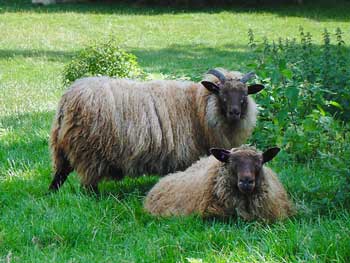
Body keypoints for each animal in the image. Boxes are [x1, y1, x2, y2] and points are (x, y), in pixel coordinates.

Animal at [47, 69, 264, 193]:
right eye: (221, 92)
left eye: (244, 94)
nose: (235, 112)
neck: (197, 106)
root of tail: (68, 98)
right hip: (90, 151)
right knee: (87, 184)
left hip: (62, 146)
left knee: (59, 174)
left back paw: (51, 194)